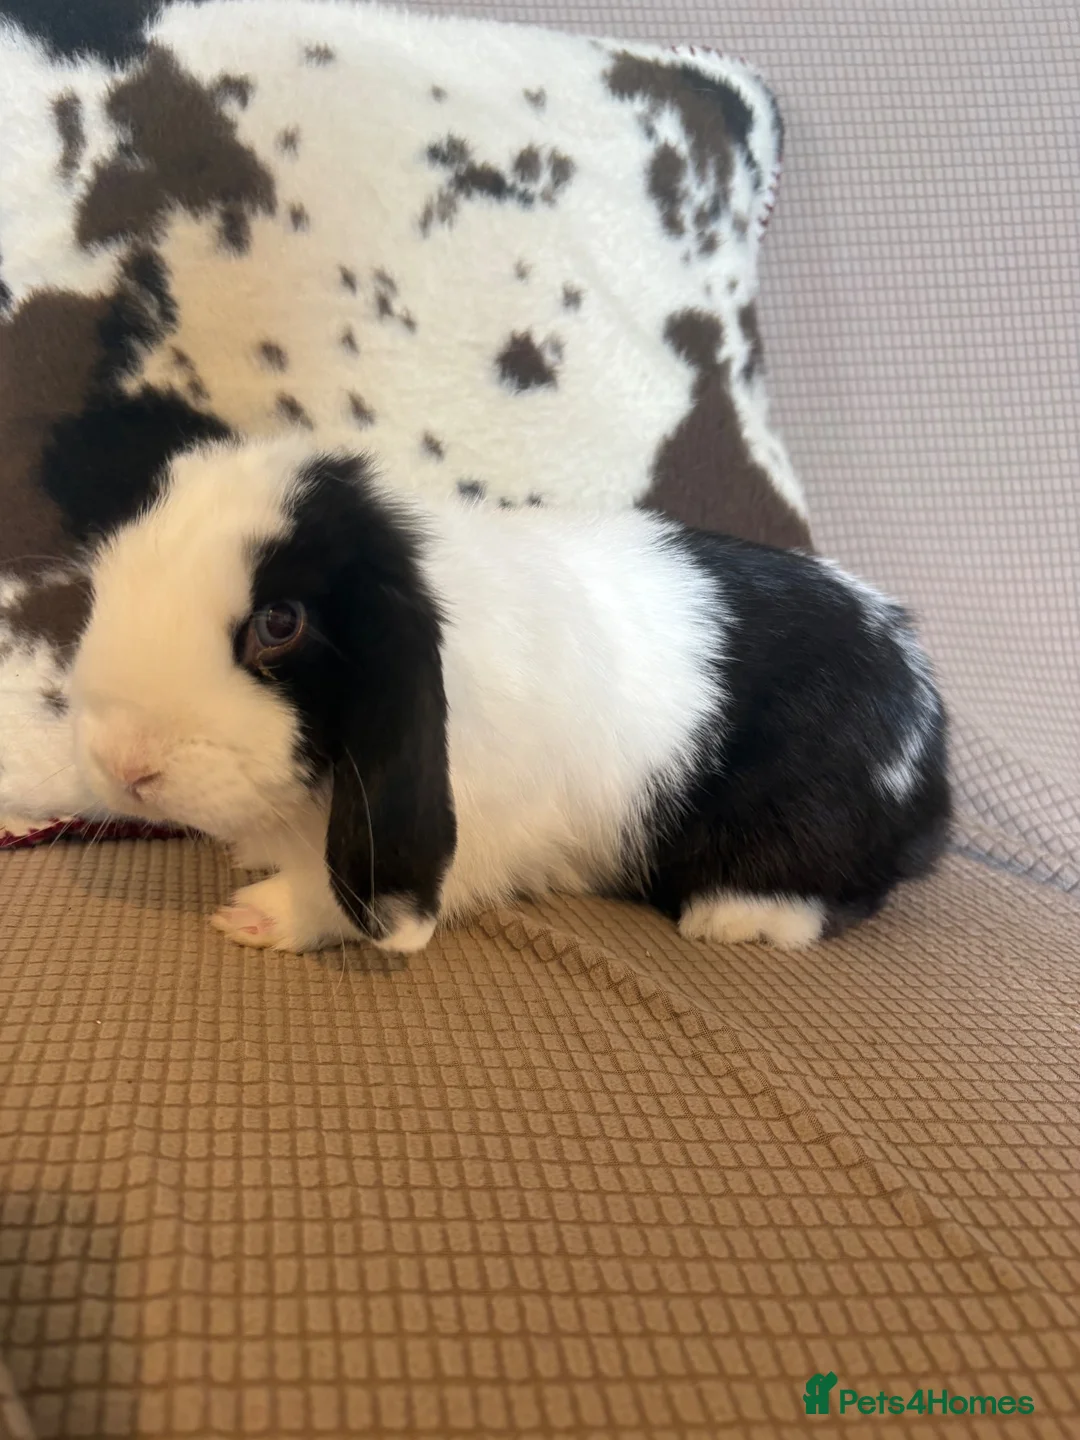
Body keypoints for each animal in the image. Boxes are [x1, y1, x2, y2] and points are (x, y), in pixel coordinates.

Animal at [68, 434, 950, 956]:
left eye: (279, 624)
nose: (125, 766)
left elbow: (340, 892)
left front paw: (256, 916)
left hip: (809, 818)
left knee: (849, 888)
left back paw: (736, 918)